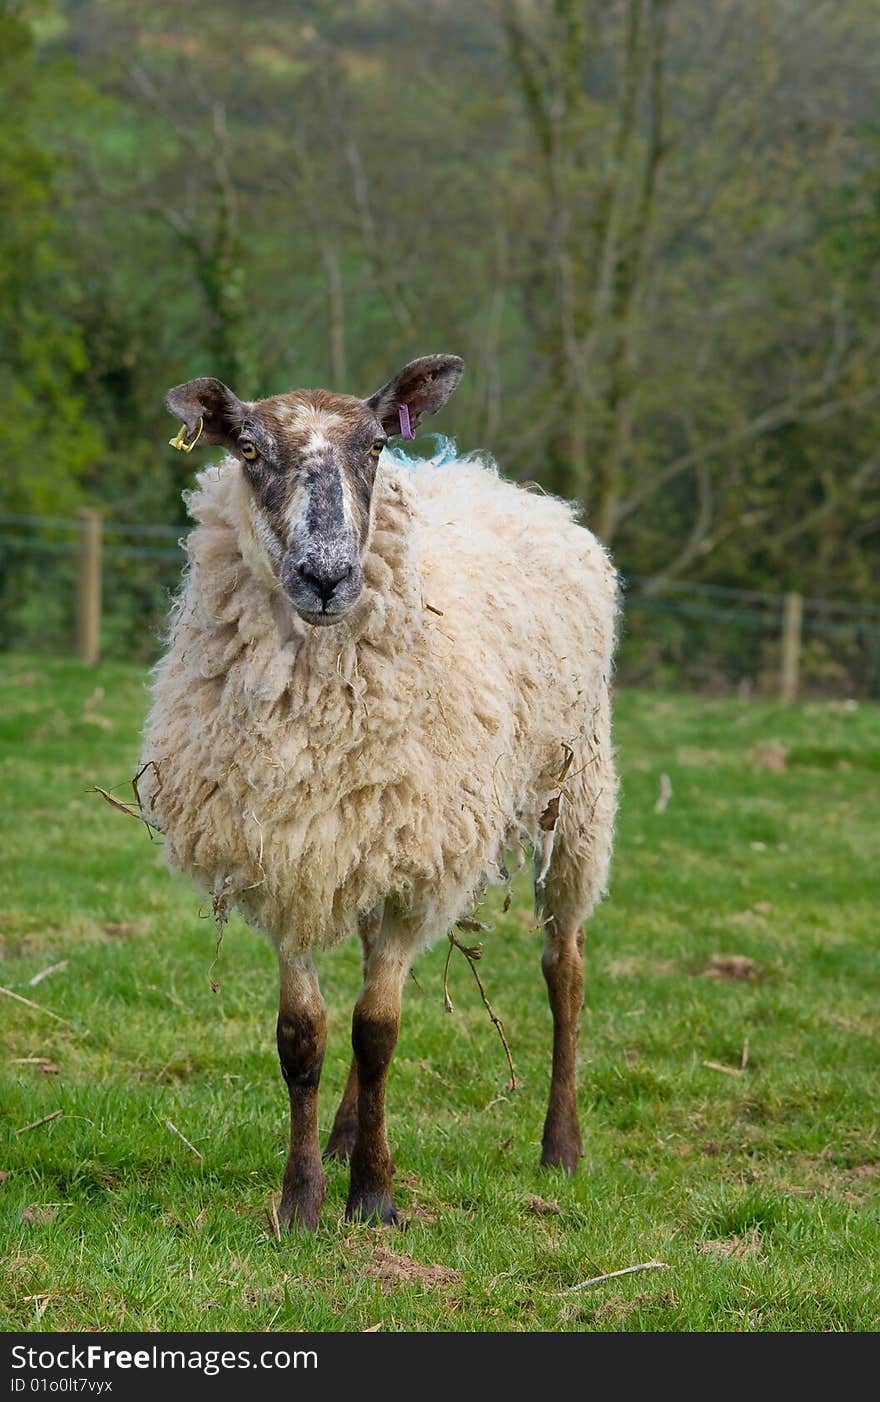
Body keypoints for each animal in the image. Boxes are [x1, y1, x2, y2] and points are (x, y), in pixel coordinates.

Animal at [139, 353, 619, 1228]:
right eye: (249, 450)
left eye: (372, 449)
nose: (327, 577)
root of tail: (487, 476)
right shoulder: (287, 856)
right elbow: (304, 1037)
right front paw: (302, 1200)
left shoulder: (413, 866)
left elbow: (379, 1033)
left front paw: (375, 1196)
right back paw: (341, 1135)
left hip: (575, 798)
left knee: (564, 969)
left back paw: (560, 1146)